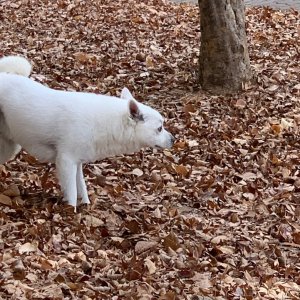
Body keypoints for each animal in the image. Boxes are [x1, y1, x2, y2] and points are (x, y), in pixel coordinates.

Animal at [0, 55, 175, 207]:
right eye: (160, 128)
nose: (174, 139)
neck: (107, 122)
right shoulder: (66, 161)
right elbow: (71, 194)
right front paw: (72, 214)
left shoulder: (76, 163)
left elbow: (82, 189)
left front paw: (85, 207)